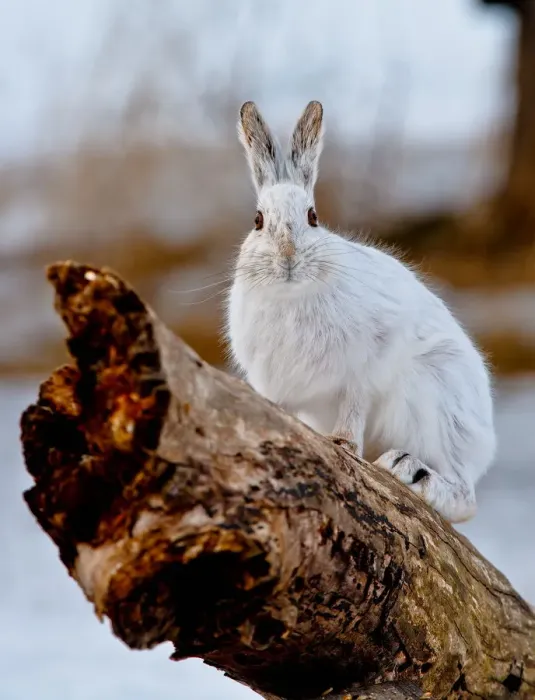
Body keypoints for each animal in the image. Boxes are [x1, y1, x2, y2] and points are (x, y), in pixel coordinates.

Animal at [225, 100, 496, 524]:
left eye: (312, 217)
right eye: (258, 221)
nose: (288, 259)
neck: (292, 294)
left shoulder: (364, 370)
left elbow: (354, 406)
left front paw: (343, 443)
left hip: (435, 399)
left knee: (465, 498)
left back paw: (409, 470)